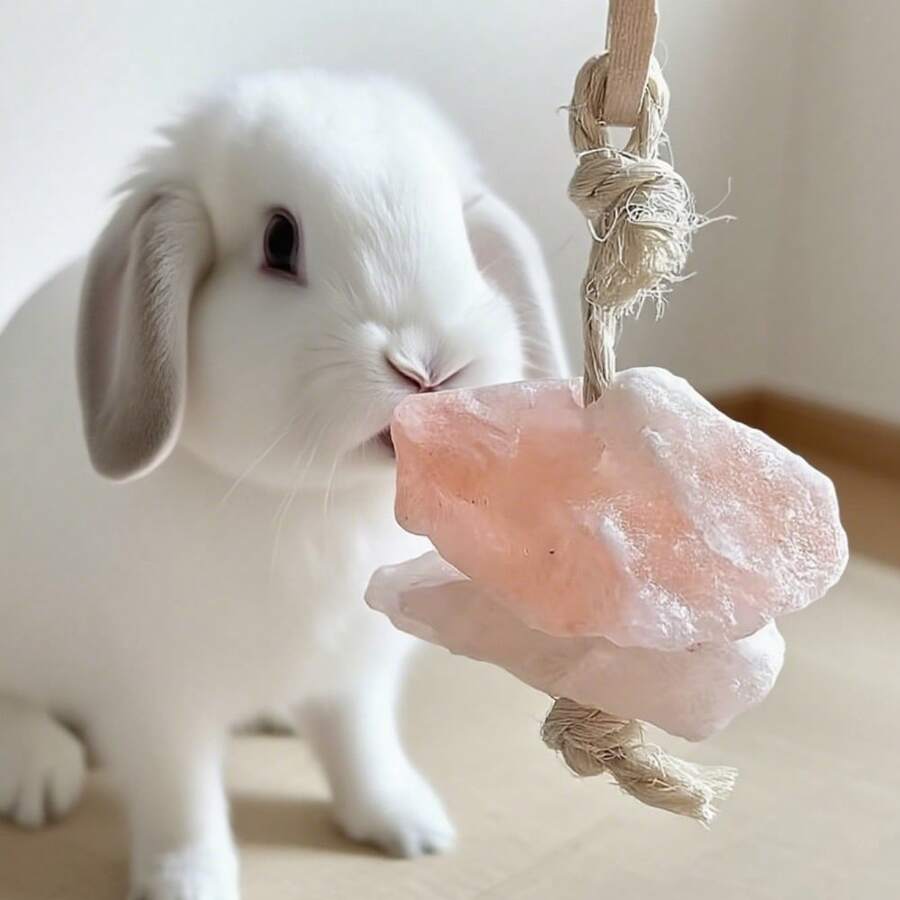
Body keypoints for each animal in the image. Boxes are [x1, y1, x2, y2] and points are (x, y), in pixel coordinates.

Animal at [0, 69, 567, 900]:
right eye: (278, 241)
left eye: (463, 244)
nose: (430, 368)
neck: (305, 502)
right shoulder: (158, 702)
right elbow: (181, 798)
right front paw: (188, 882)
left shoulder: (356, 675)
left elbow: (362, 749)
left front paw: (409, 828)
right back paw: (37, 772)